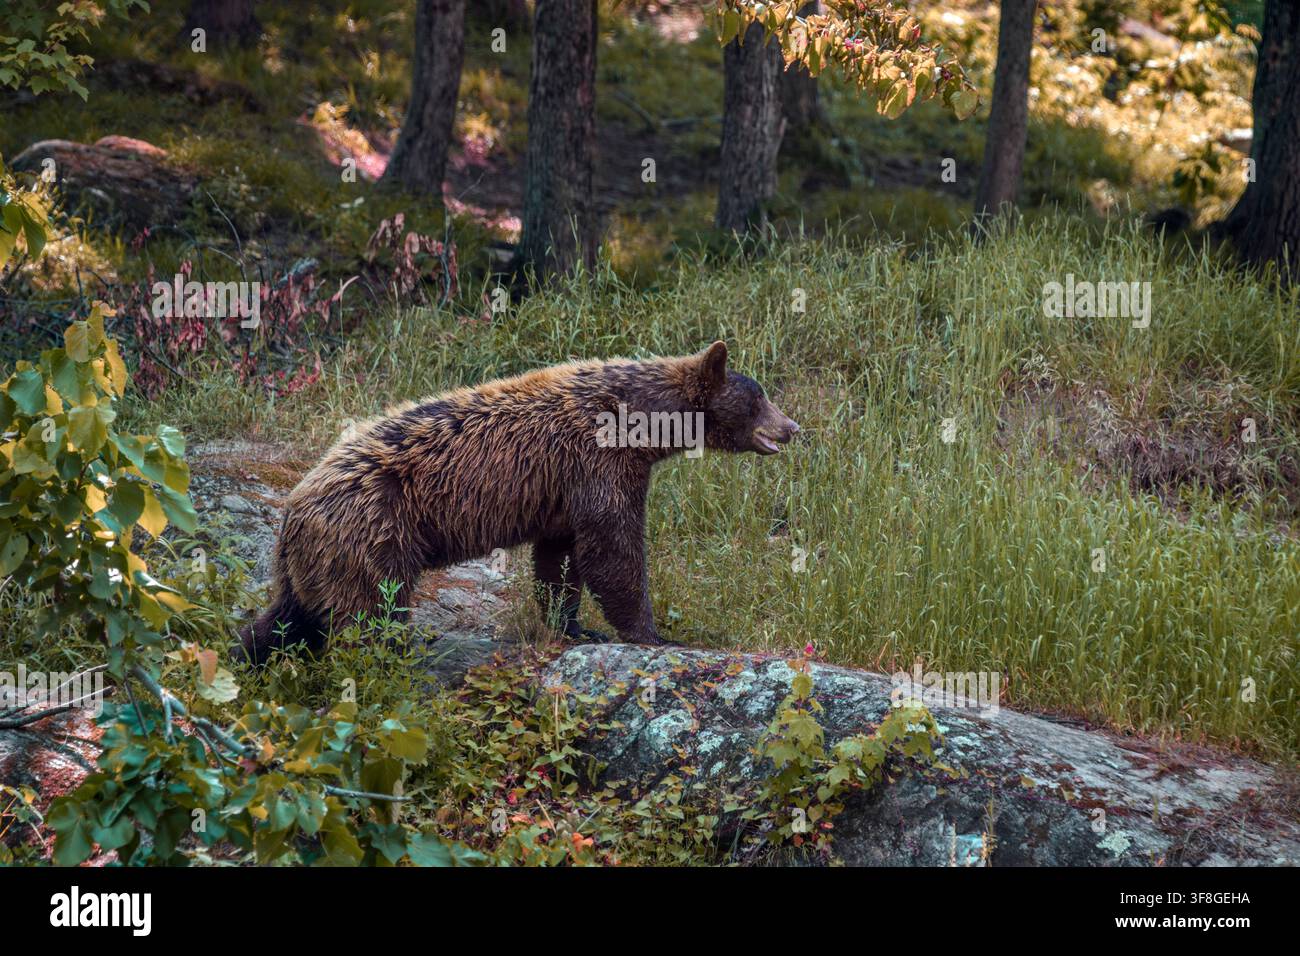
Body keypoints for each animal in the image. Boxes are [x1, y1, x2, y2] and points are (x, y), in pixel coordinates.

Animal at [237, 341, 799, 663]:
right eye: (759, 398)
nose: (792, 427)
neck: (640, 423)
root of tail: (293, 509)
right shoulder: (599, 461)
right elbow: (613, 548)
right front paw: (653, 634)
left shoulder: (566, 490)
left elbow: (562, 557)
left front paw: (575, 626)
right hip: (373, 529)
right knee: (370, 609)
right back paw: (390, 655)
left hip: (314, 561)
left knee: (287, 617)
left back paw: (250, 655)